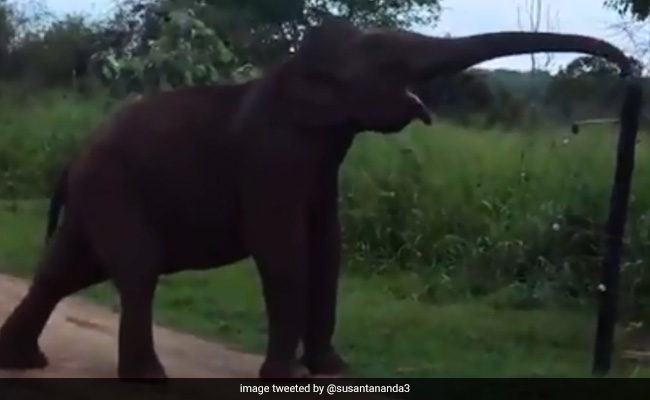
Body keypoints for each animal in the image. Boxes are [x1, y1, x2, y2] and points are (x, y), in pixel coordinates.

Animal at [0, 17, 633, 379]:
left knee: (68, 269)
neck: (292, 72)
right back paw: (149, 380)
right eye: (387, 58)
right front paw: (282, 377)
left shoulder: (320, 167)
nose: (629, 65)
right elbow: (284, 252)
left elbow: (329, 247)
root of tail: (72, 158)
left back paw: (26, 361)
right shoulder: (268, 161)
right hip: (114, 188)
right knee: (134, 269)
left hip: (100, 196)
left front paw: (333, 370)